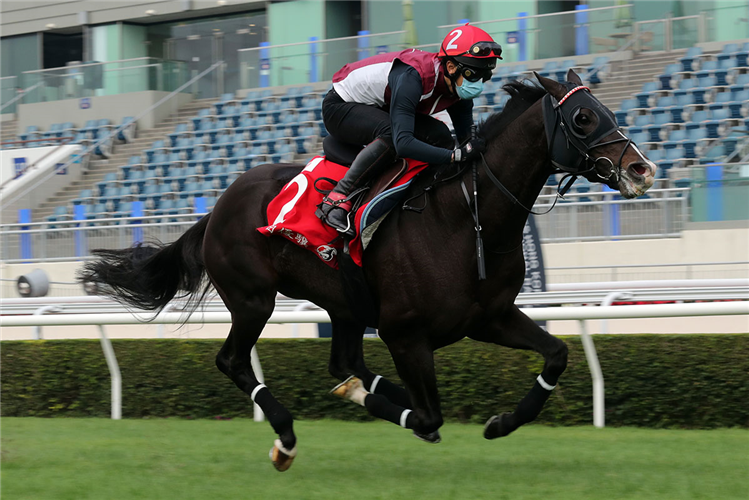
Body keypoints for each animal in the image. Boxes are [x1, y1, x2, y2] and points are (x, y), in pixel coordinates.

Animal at [79, 71, 656, 472]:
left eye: (603, 109)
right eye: (583, 118)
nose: (641, 168)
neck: (466, 216)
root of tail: (217, 206)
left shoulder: (488, 315)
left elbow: (557, 354)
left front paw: (501, 422)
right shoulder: (406, 333)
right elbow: (428, 416)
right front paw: (386, 406)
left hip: (344, 302)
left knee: (344, 359)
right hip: (253, 299)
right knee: (234, 361)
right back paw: (286, 438)